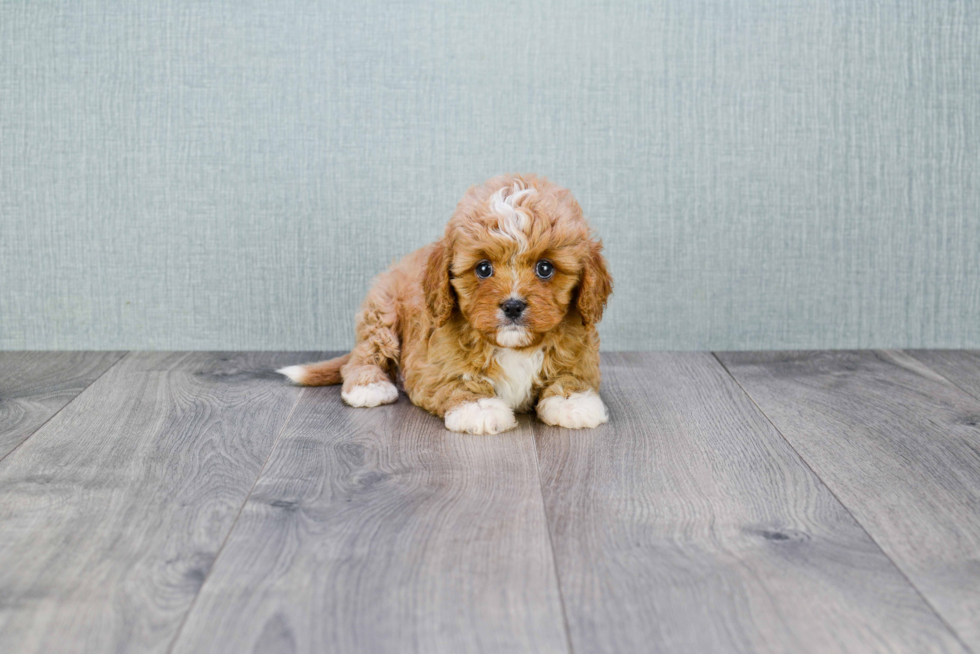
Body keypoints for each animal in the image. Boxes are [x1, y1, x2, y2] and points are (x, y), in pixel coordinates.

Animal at [278, 173, 612, 436]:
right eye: (483, 269)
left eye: (545, 268)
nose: (513, 306)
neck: (514, 346)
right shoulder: (431, 365)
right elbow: (458, 380)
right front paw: (479, 408)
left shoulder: (580, 350)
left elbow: (573, 374)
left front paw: (572, 402)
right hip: (382, 313)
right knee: (364, 355)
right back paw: (368, 386)